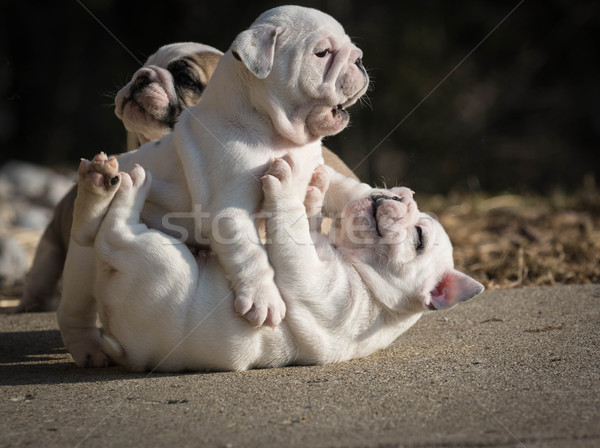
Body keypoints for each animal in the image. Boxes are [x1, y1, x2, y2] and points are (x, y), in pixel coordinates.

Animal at [58, 6, 372, 368]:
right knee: (76, 302)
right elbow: (251, 254)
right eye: (322, 53)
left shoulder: (315, 168)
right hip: (82, 263)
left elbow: (341, 187)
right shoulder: (230, 209)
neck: (275, 132)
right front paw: (264, 300)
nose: (360, 60)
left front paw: (376, 197)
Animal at [70, 154, 482, 372]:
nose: (394, 197)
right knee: (92, 236)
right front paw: (312, 190)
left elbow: (292, 234)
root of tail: (121, 341)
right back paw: (98, 183)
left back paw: (129, 186)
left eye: (419, 239)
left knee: (115, 234)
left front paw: (288, 185)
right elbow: (307, 221)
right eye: (400, 193)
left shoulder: (317, 285)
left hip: (160, 260)